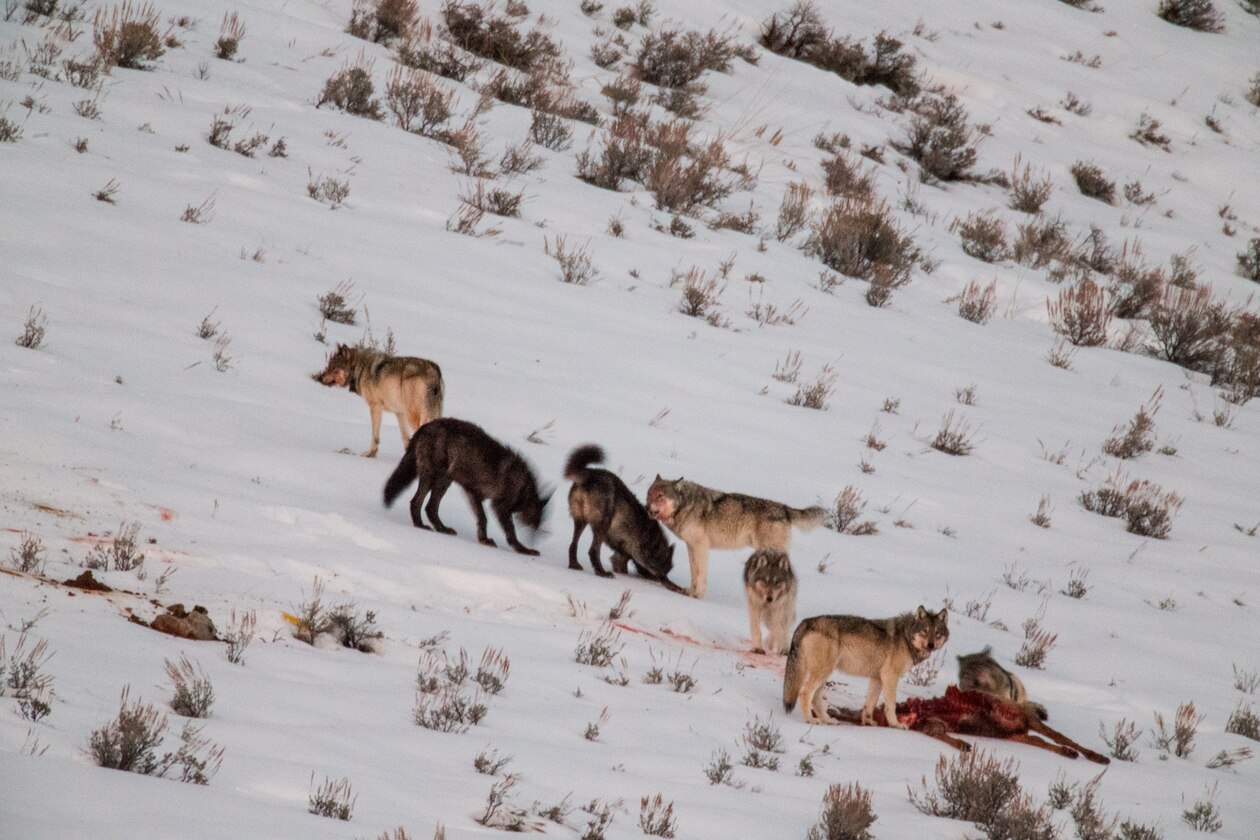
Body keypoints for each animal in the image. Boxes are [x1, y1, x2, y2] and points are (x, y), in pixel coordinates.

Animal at [314, 343, 444, 458]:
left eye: (333, 368)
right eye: (329, 366)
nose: (319, 378)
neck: (360, 369)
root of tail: (434, 371)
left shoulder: (375, 406)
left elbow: (375, 435)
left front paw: (370, 454)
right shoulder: (399, 413)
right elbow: (405, 438)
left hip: (413, 416)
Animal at [383, 418, 549, 556]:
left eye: (541, 521)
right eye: (535, 519)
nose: (535, 540)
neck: (522, 487)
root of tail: (424, 426)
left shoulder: (473, 493)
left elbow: (482, 519)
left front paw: (483, 539)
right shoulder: (496, 505)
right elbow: (502, 528)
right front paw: (522, 549)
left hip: (444, 481)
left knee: (430, 508)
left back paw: (442, 528)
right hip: (432, 477)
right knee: (416, 502)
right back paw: (420, 525)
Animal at [565, 445, 684, 593]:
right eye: (667, 568)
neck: (654, 540)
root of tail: (590, 473)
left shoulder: (621, 556)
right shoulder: (642, 556)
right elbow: (660, 576)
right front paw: (676, 587)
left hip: (580, 522)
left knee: (573, 545)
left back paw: (574, 565)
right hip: (603, 525)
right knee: (593, 550)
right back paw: (602, 572)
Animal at [645, 475, 824, 599]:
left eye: (660, 496)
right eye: (650, 494)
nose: (646, 507)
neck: (685, 506)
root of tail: (785, 509)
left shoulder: (701, 546)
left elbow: (701, 574)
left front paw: (698, 596)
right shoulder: (691, 546)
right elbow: (693, 573)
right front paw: (689, 592)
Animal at [783, 606, 950, 727]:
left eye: (938, 633)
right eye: (925, 631)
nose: (931, 645)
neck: (905, 637)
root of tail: (805, 622)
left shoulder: (877, 678)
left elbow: (870, 704)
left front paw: (868, 723)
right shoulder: (890, 676)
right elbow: (890, 705)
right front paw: (896, 724)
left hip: (824, 674)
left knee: (815, 699)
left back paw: (828, 720)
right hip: (822, 673)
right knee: (805, 693)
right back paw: (810, 720)